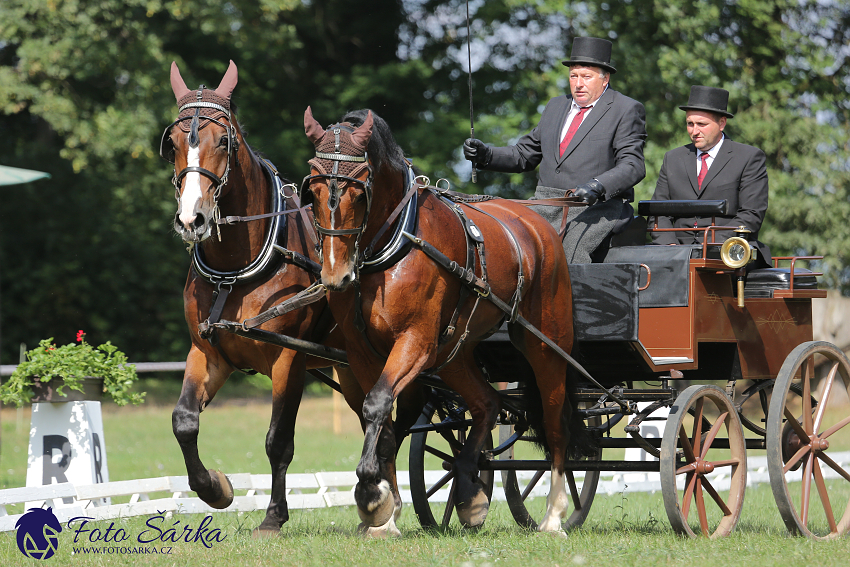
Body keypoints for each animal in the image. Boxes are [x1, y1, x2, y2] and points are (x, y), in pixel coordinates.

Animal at [302, 107, 580, 536]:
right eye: (313, 189)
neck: (391, 245)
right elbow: (379, 420)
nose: (337, 274)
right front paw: (384, 510)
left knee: (555, 425)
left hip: (546, 345)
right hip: (454, 352)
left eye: (360, 190)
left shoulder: (415, 341)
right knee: (486, 403)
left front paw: (369, 494)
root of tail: (540, 225)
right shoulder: (362, 352)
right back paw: (469, 491)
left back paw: (553, 514)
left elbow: (378, 404)